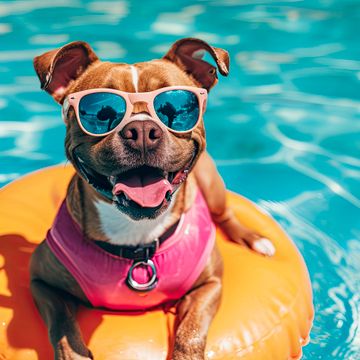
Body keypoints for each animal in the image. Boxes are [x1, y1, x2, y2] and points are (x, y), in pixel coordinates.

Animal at [29, 37, 274, 360]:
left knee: (225, 214)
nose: (143, 129)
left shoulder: (210, 285)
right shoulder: (41, 282)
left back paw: (253, 239)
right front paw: (75, 352)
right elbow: (63, 326)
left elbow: (191, 333)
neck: (137, 236)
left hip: (212, 185)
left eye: (176, 106)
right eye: (100, 111)